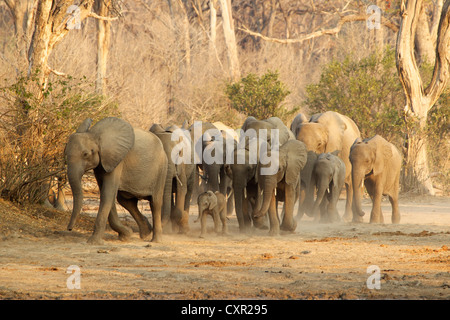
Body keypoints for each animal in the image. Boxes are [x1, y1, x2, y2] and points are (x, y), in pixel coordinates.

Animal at [64, 117, 167, 245]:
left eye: (85, 154)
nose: (69, 229)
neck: (95, 135)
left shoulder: (117, 160)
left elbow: (107, 193)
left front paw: (93, 242)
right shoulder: (102, 163)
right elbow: (107, 193)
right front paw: (126, 235)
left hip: (161, 169)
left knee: (155, 203)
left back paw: (155, 241)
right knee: (125, 201)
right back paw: (146, 233)